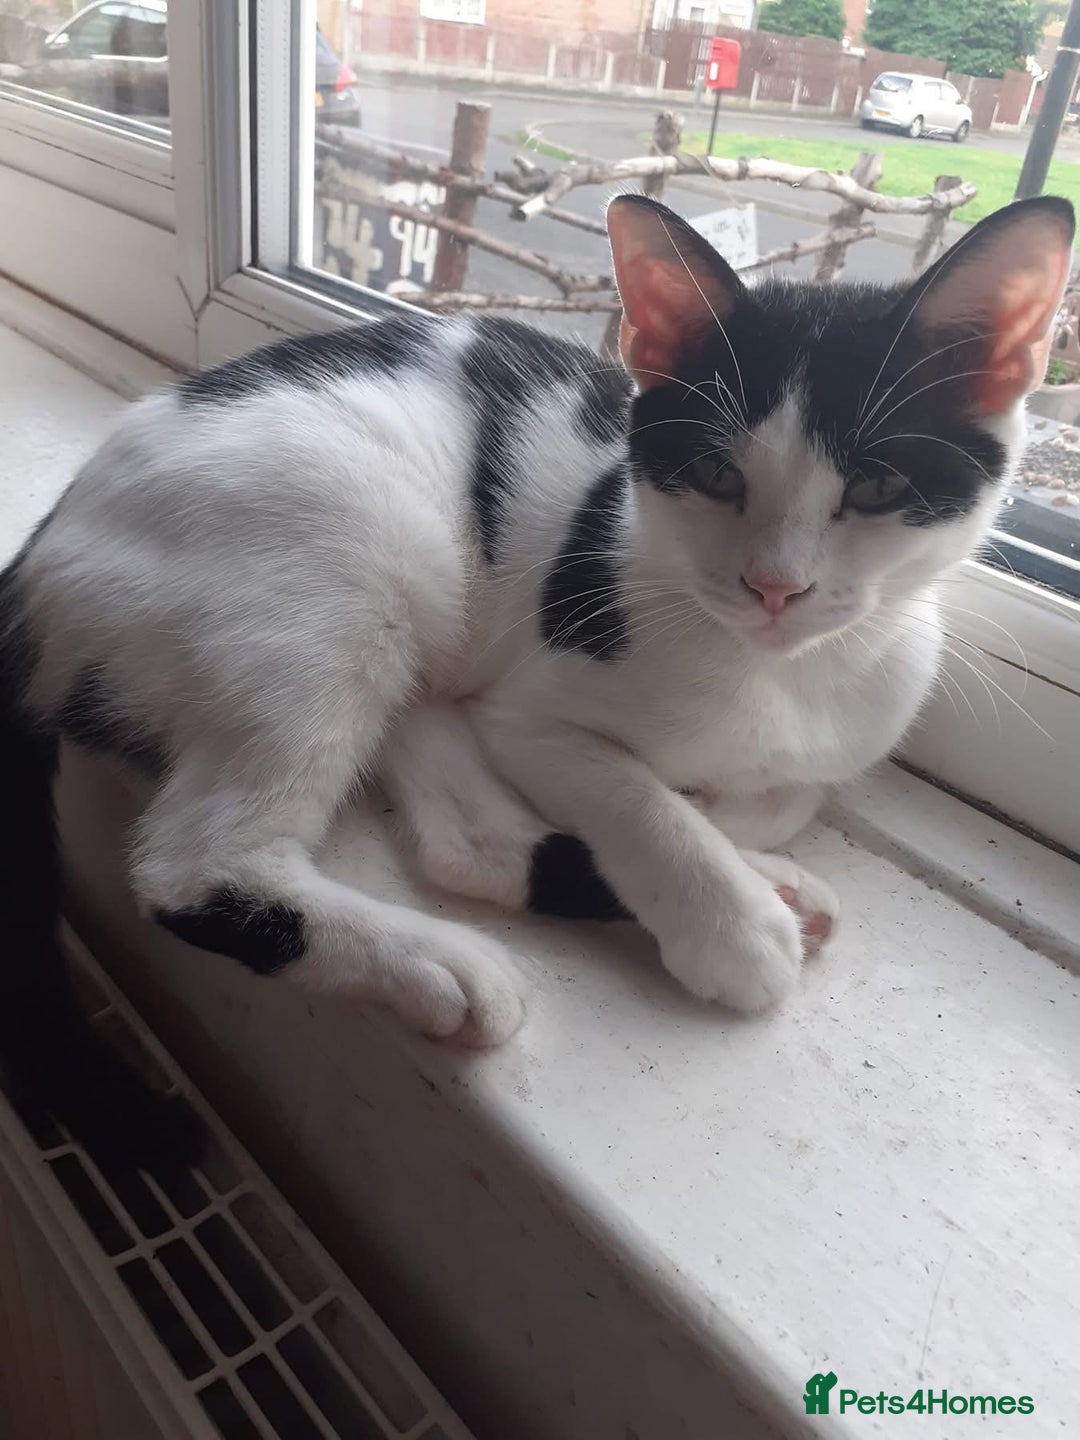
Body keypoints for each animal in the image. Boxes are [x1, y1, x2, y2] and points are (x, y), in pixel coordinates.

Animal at [0, 193, 1072, 1163]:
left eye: (879, 486)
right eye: (716, 474)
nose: (776, 586)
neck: (774, 678)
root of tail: (39, 558)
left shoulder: (844, 732)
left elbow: (775, 796)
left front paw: (739, 848)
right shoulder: (533, 704)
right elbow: (639, 796)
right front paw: (729, 922)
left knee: (458, 841)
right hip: (346, 558)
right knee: (199, 869)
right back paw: (445, 960)